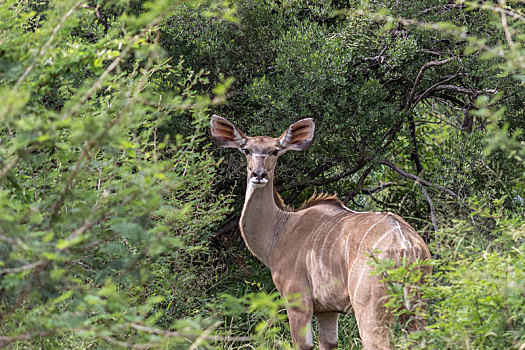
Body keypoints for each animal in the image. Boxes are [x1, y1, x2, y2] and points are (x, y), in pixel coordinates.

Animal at [209, 115, 430, 350]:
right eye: (247, 150)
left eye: (275, 151)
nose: (258, 174)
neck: (281, 228)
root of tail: (406, 245)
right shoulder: (328, 311)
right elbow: (329, 342)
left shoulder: (298, 302)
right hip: (417, 310)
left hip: (370, 309)